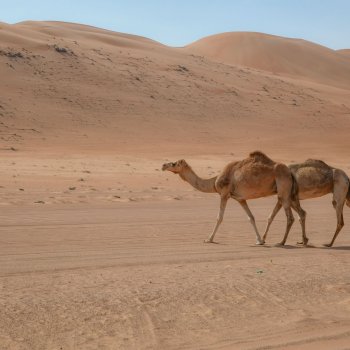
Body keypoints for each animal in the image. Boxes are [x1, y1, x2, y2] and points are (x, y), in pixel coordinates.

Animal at [161, 151, 306, 246]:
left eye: (174, 164)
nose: (163, 165)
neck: (214, 181)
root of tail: (290, 172)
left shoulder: (224, 194)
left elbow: (219, 217)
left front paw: (209, 239)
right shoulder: (240, 199)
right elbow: (251, 217)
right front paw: (259, 240)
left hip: (283, 190)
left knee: (290, 217)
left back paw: (282, 242)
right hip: (288, 194)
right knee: (301, 212)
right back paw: (304, 240)